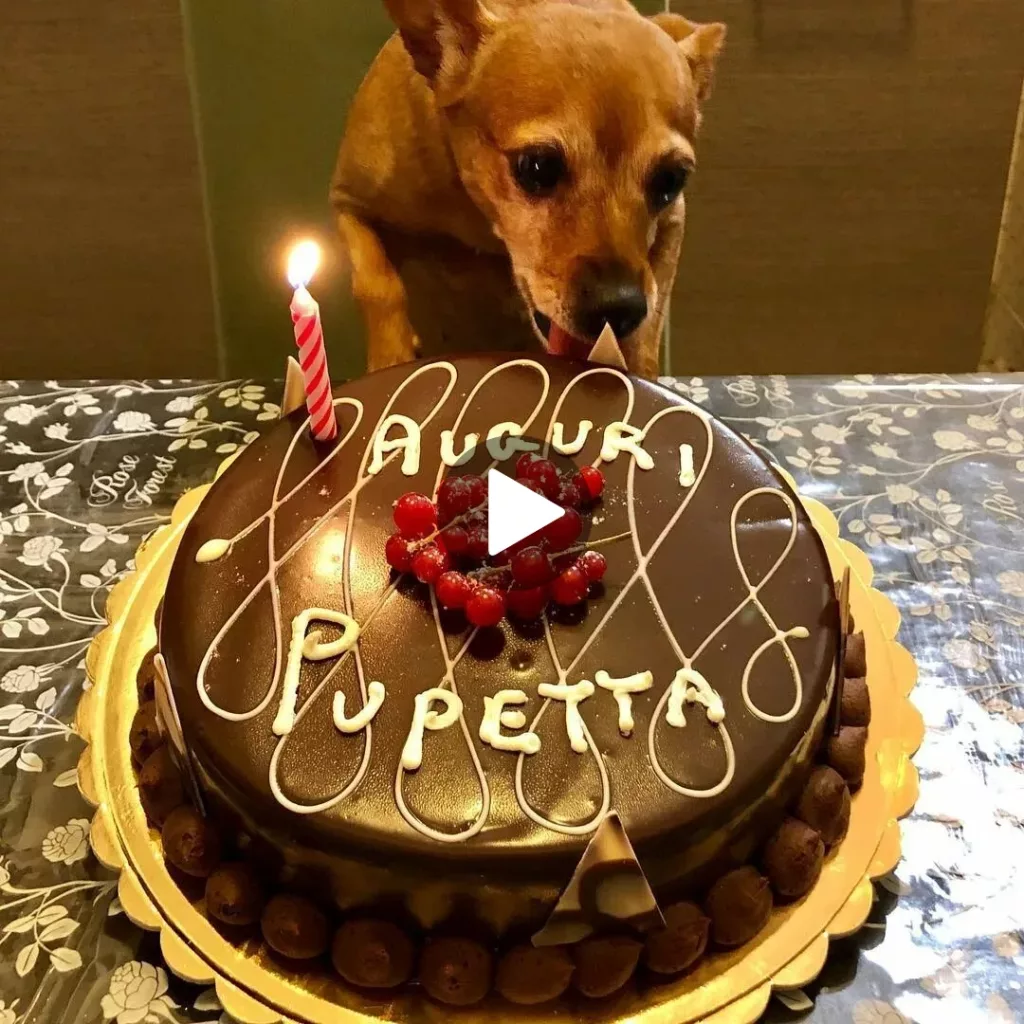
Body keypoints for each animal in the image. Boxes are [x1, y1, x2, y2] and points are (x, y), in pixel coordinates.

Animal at [331, 1, 724, 376]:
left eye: (672, 180)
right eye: (537, 166)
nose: (620, 307)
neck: (479, 216)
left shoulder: (673, 226)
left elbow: (647, 333)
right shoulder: (349, 203)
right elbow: (377, 284)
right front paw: (390, 355)